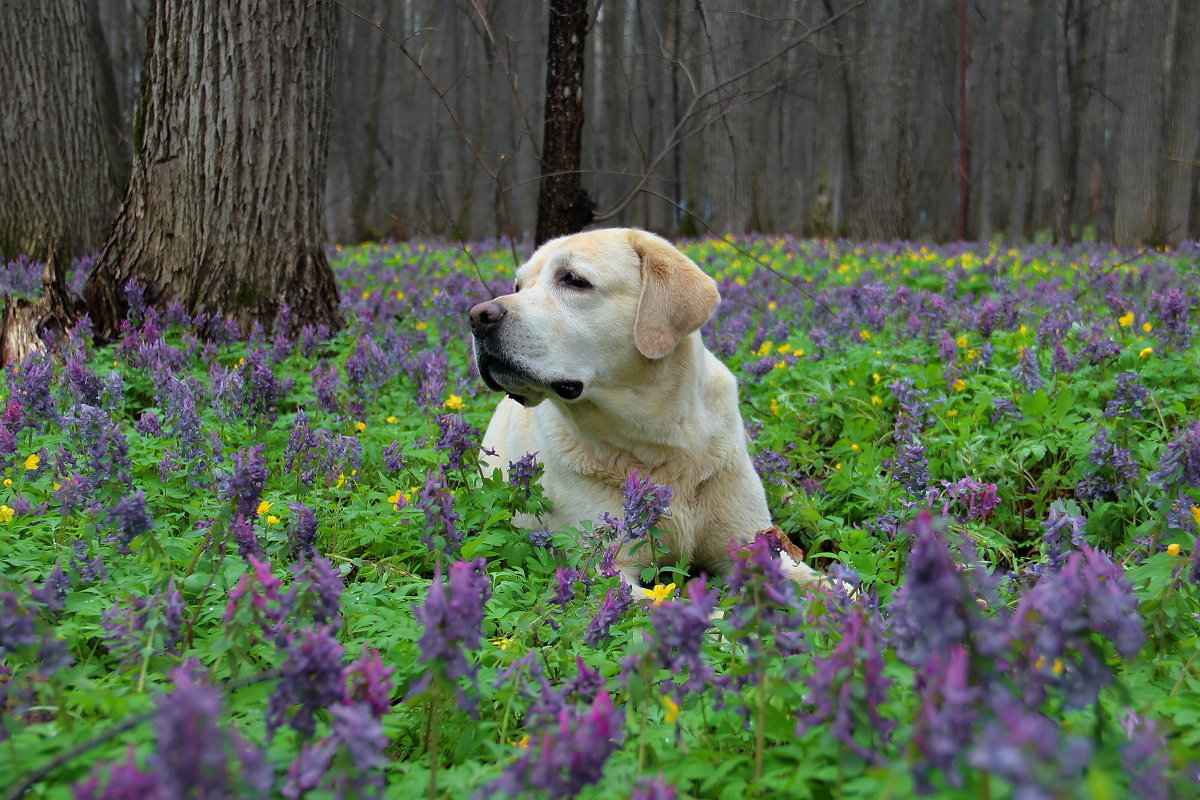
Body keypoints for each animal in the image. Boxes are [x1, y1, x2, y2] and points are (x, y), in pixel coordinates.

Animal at [468, 230, 825, 587]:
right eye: (518, 286)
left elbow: (825, 585)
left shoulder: (754, 542)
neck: (658, 438)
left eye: (574, 280)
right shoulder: (604, 564)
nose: (477, 316)